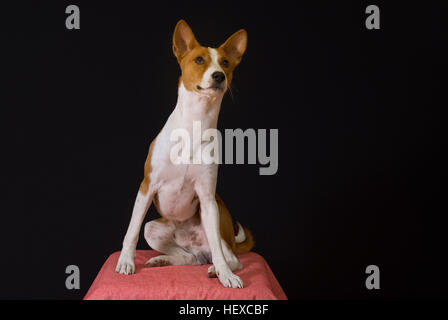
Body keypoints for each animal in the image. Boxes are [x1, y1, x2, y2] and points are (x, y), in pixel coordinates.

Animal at [115, 20, 254, 290]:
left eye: (225, 63)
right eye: (199, 60)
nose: (219, 76)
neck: (195, 124)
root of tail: (198, 248)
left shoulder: (207, 198)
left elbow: (222, 255)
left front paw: (226, 275)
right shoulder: (146, 187)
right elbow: (131, 230)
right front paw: (126, 261)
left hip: (217, 226)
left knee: (228, 256)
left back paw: (217, 269)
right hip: (154, 229)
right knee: (188, 257)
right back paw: (164, 260)